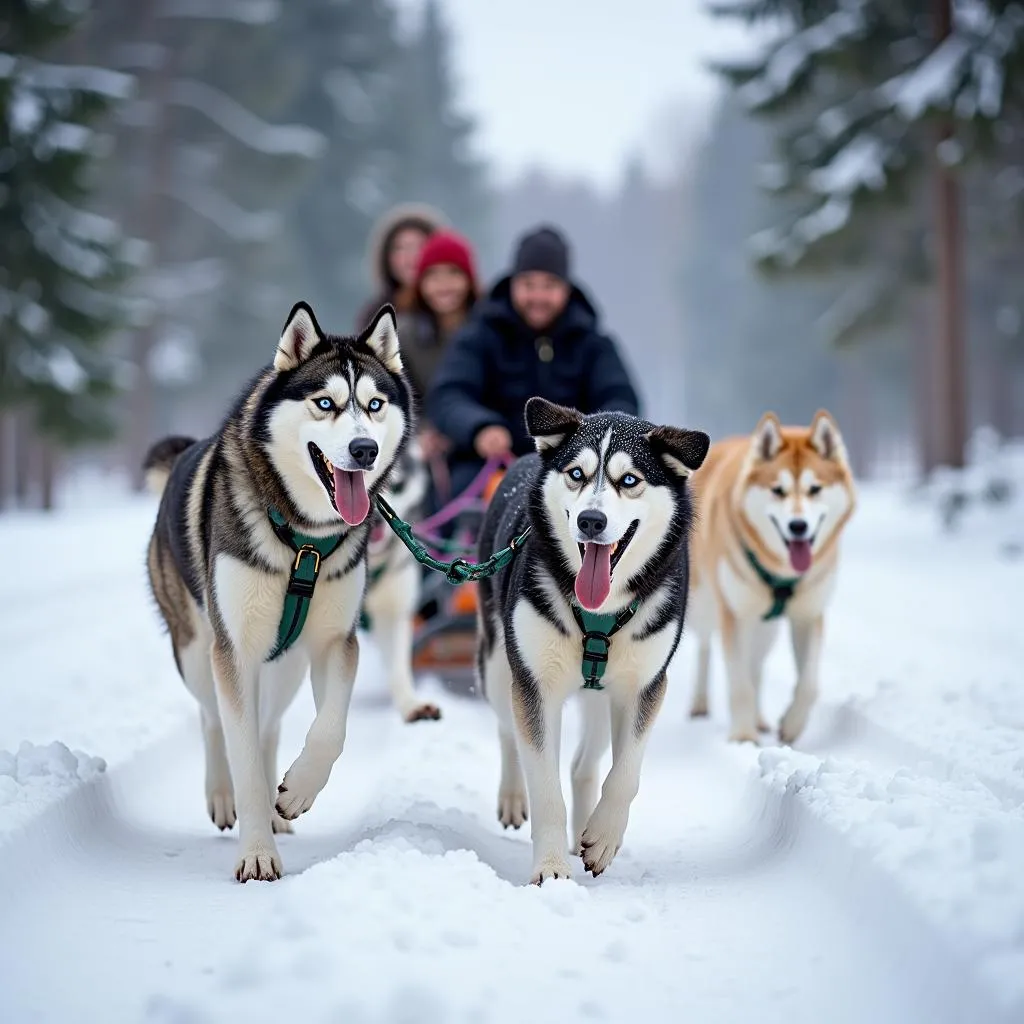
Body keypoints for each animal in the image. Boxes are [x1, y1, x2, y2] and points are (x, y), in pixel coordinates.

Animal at [143, 299, 411, 880]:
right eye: (325, 402)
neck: (303, 540)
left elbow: (330, 730)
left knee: (267, 726)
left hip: (285, 663)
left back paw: (273, 801)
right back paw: (225, 797)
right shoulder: (234, 649)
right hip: (198, 650)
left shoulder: (335, 642)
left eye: (375, 404)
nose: (364, 448)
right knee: (212, 717)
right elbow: (239, 747)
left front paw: (296, 792)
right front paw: (257, 853)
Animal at [475, 395, 708, 884]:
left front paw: (601, 837)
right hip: (496, 665)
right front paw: (550, 869)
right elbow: (544, 784)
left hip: (603, 695)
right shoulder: (535, 685)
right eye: (577, 474)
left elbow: (626, 773)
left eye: (629, 480)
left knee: (585, 766)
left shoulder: (643, 686)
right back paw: (513, 796)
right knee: (507, 728)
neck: (600, 613)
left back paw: (584, 828)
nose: (591, 520)